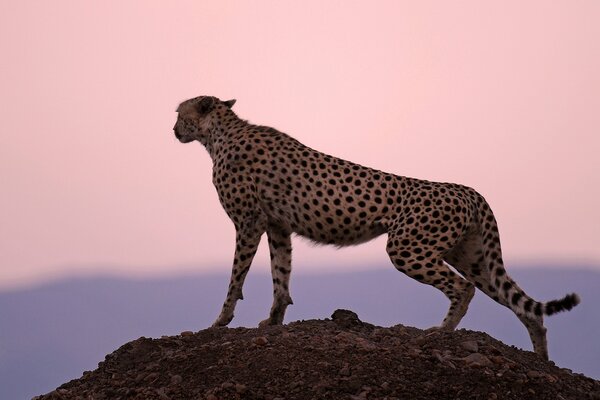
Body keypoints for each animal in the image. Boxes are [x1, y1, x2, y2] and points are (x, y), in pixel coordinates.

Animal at [175, 94, 580, 360]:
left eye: (179, 113)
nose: (174, 128)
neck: (220, 133)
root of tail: (468, 190)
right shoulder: (278, 226)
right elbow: (281, 276)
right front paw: (274, 320)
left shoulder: (249, 223)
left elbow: (236, 278)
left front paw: (220, 321)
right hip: (472, 257)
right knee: (524, 305)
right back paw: (542, 359)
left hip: (407, 248)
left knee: (462, 288)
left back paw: (441, 332)